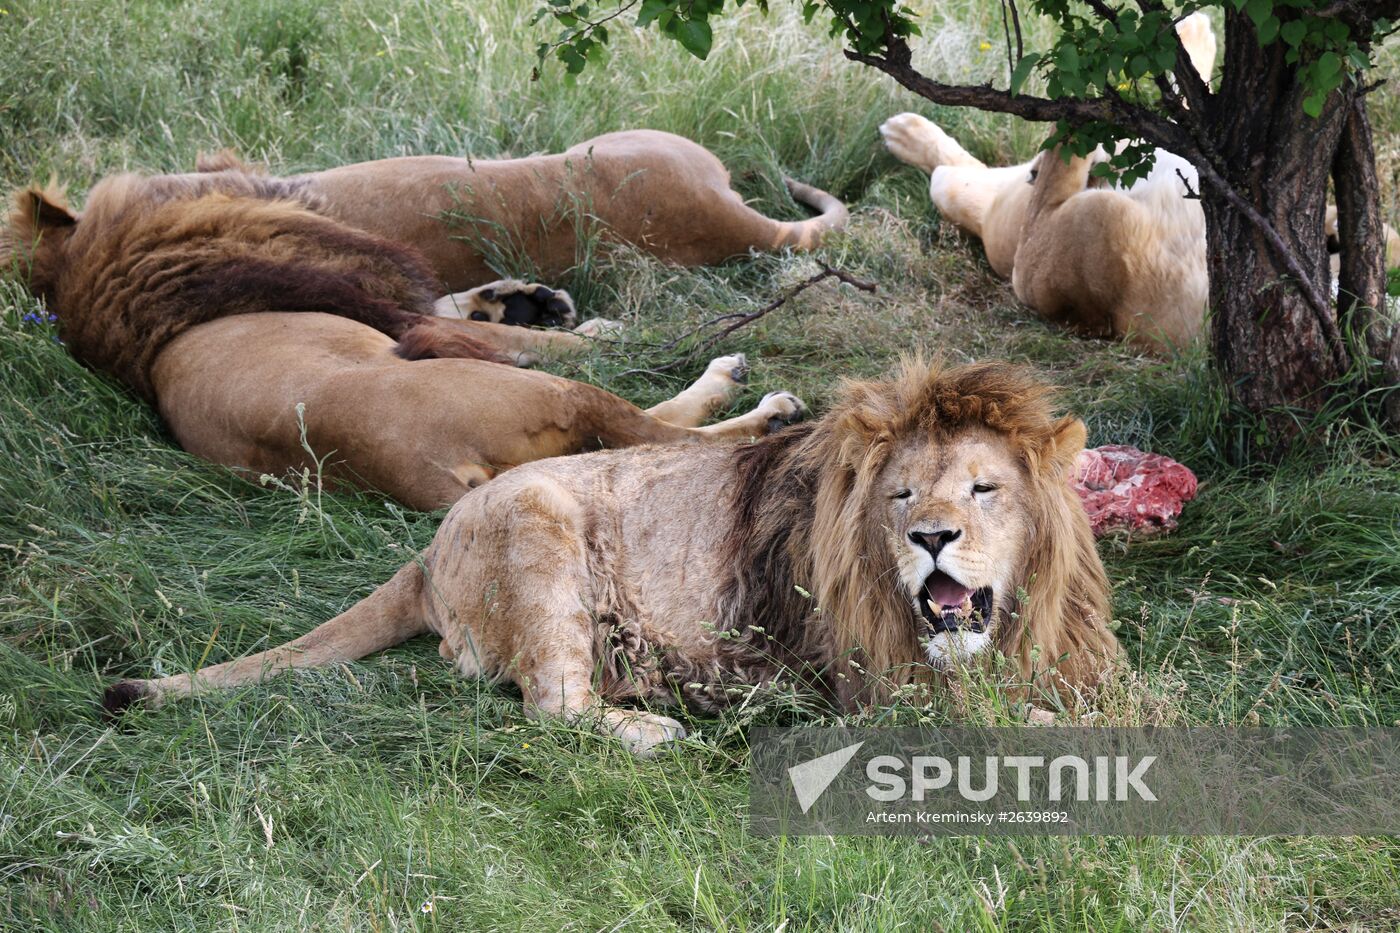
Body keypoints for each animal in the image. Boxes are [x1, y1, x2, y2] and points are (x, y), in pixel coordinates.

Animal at [2, 173, 800, 509]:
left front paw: (525, 299)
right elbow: (594, 348)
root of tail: (426, 475)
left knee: (639, 441)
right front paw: (618, 328)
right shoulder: (413, 325)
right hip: (542, 395)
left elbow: (467, 305)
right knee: (666, 435)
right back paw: (758, 400)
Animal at [103, 358, 1120, 750]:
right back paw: (653, 727)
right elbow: (1013, 722)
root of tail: (427, 554)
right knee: (552, 705)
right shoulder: (868, 684)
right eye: (902, 495)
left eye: (983, 490)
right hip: (541, 527)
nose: (931, 539)